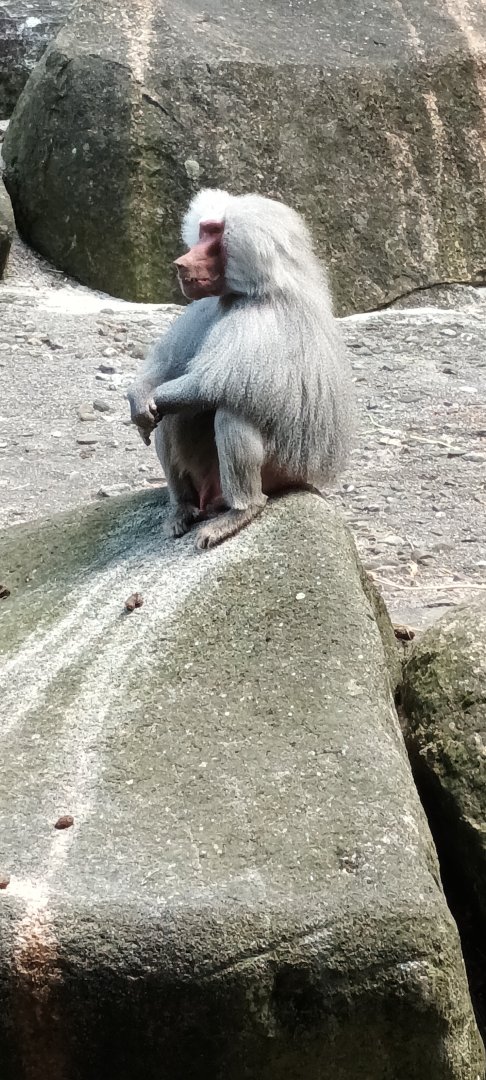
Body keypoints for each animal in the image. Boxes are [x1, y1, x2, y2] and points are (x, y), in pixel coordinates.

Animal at [127, 188, 355, 551]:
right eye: (203, 230)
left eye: (215, 235)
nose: (180, 264)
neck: (249, 291)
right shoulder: (205, 308)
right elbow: (165, 368)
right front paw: (138, 399)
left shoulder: (259, 321)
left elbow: (206, 385)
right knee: (172, 419)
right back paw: (182, 510)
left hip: (282, 470)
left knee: (230, 415)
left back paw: (240, 513)